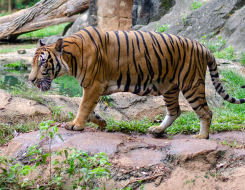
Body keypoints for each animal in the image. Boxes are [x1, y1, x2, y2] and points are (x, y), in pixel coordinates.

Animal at [29, 25, 245, 140]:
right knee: (175, 111)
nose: (31, 80)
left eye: (42, 63)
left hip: (191, 84)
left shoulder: (93, 85)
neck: (70, 58)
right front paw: (101, 121)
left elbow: (83, 106)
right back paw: (157, 130)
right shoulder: (93, 88)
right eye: (32, 63)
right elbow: (89, 108)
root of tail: (203, 46)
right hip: (169, 87)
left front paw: (76, 125)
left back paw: (201, 136)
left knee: (206, 112)